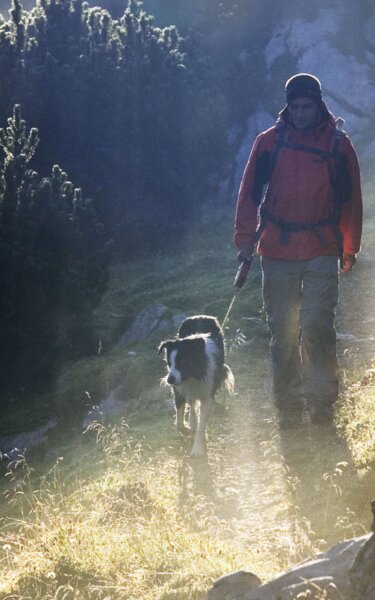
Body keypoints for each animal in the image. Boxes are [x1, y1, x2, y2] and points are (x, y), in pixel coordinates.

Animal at [159, 316, 235, 458]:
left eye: (182, 362)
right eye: (169, 363)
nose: (169, 380)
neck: (193, 375)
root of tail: (199, 316)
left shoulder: (208, 393)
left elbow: (202, 423)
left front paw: (197, 449)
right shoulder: (179, 390)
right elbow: (180, 422)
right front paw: (188, 430)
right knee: (192, 403)